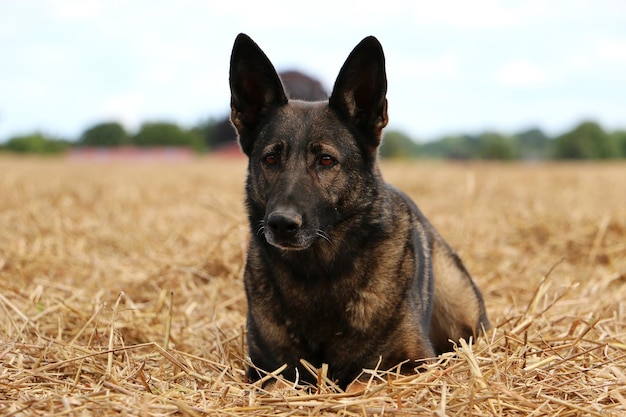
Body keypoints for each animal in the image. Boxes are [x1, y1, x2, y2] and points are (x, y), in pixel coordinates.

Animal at [229, 34, 488, 388]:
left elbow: (363, 379)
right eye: (270, 159)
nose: (281, 224)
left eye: (326, 160)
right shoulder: (264, 371)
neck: (318, 272)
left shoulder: (414, 363)